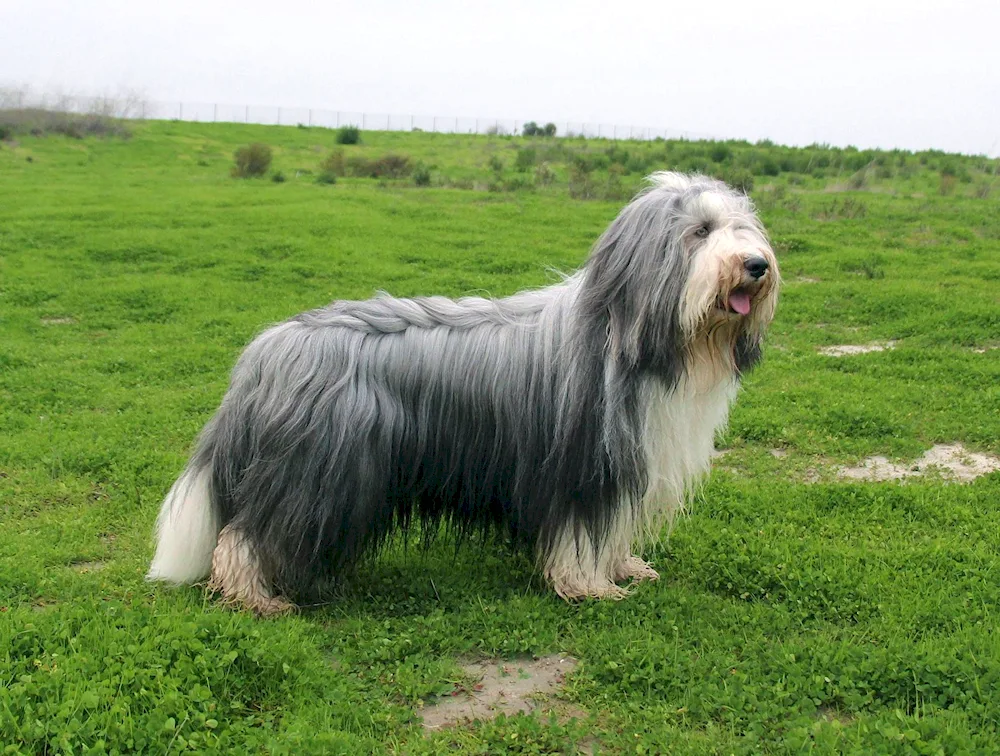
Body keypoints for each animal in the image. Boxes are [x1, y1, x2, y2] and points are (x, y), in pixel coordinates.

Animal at [145, 173, 776, 616]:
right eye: (700, 231)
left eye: (743, 226)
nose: (757, 265)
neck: (637, 338)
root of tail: (268, 349)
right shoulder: (581, 468)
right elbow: (579, 536)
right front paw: (589, 588)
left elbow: (613, 531)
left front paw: (623, 568)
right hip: (313, 472)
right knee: (246, 535)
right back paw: (255, 596)